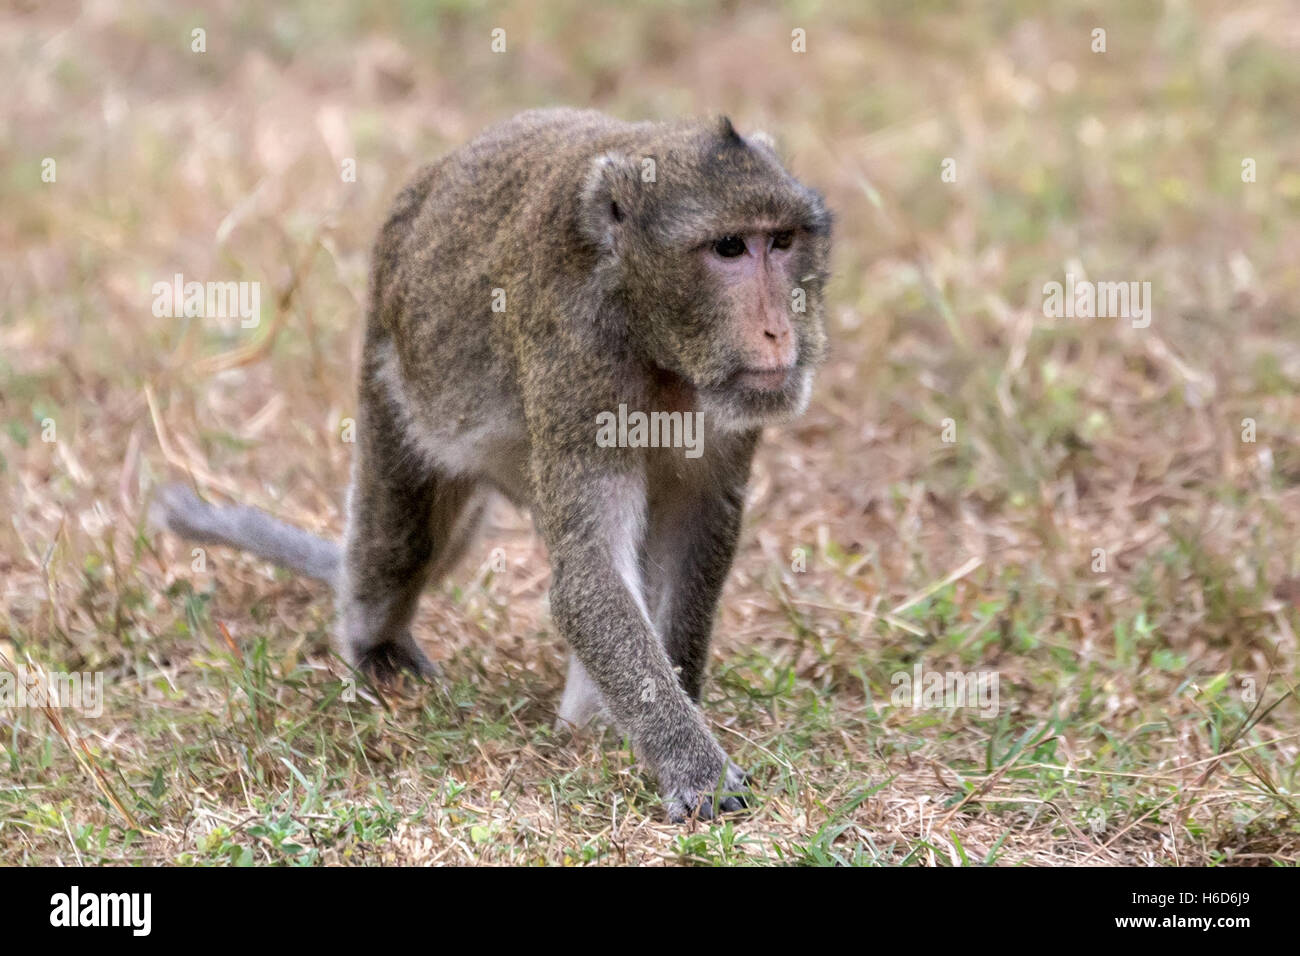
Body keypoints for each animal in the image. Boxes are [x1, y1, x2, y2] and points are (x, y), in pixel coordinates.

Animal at [154, 108, 832, 821]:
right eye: (729, 248)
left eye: (781, 242)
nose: (779, 331)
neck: (656, 342)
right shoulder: (575, 360)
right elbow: (588, 575)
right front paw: (695, 770)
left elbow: (694, 539)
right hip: (392, 373)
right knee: (400, 542)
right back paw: (375, 644)